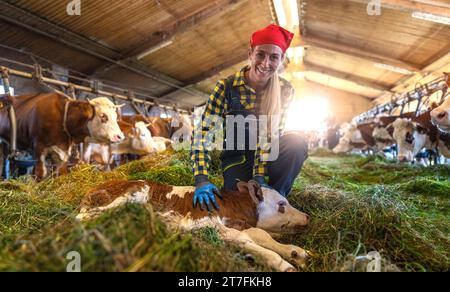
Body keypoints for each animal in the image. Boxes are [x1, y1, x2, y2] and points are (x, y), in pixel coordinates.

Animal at [76, 179, 310, 272]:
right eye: (282, 204)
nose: (307, 216)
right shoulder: (205, 221)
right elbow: (247, 239)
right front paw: (283, 263)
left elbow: (260, 235)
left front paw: (296, 252)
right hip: (134, 191)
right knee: (84, 219)